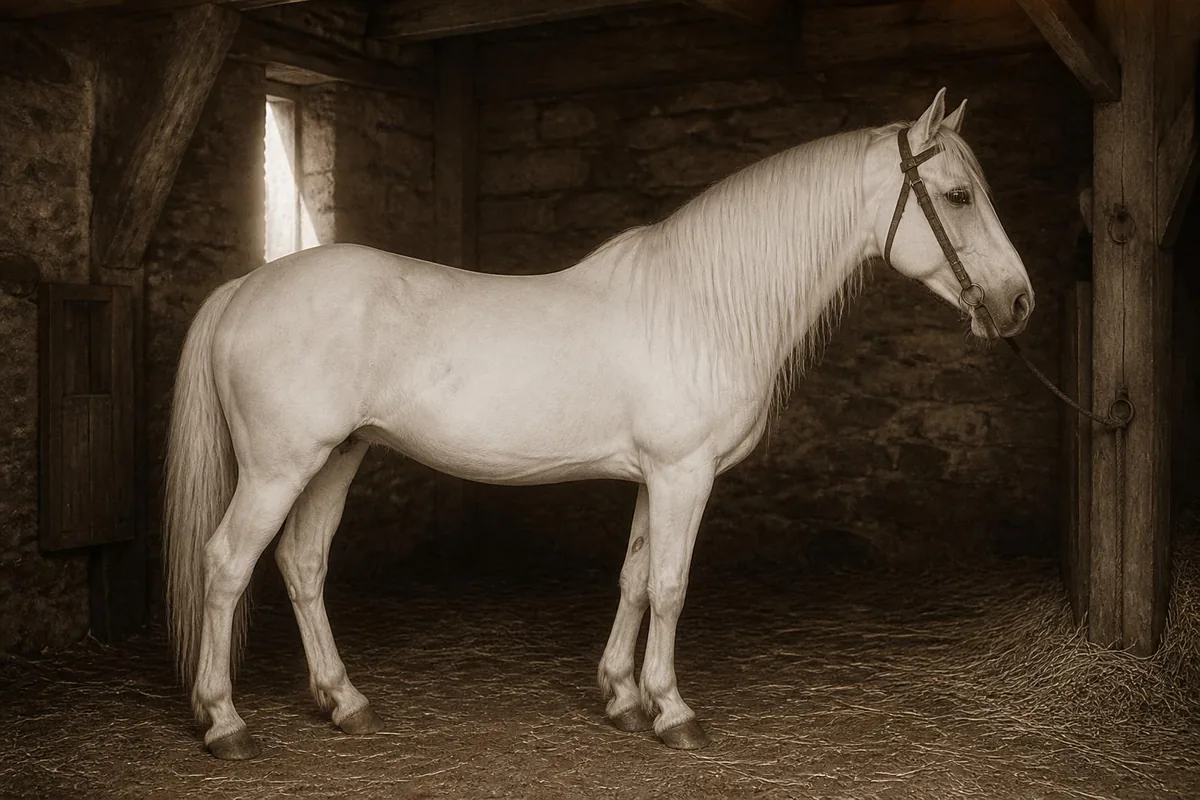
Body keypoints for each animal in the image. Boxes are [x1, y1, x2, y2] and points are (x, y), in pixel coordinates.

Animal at [164, 88, 1034, 760]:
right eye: (957, 195)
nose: (1018, 302)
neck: (698, 306)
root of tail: (246, 287)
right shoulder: (683, 474)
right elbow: (672, 587)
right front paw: (672, 711)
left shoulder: (658, 476)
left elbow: (635, 580)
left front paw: (620, 696)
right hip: (280, 467)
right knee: (228, 563)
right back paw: (226, 723)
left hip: (337, 457)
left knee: (303, 565)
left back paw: (343, 701)